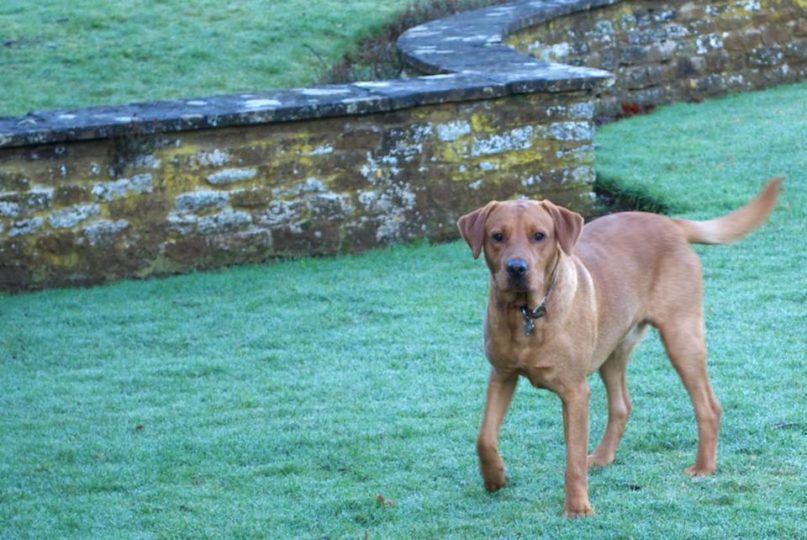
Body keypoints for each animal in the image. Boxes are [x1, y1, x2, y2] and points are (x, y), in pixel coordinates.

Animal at [460, 179, 784, 516]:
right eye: (497, 236)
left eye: (540, 236)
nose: (516, 268)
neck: (527, 313)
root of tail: (670, 223)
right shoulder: (502, 374)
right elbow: (484, 437)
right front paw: (494, 477)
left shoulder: (575, 391)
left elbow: (573, 459)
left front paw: (577, 508)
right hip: (613, 349)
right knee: (621, 405)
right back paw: (603, 457)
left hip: (682, 337)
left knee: (708, 406)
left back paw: (703, 467)